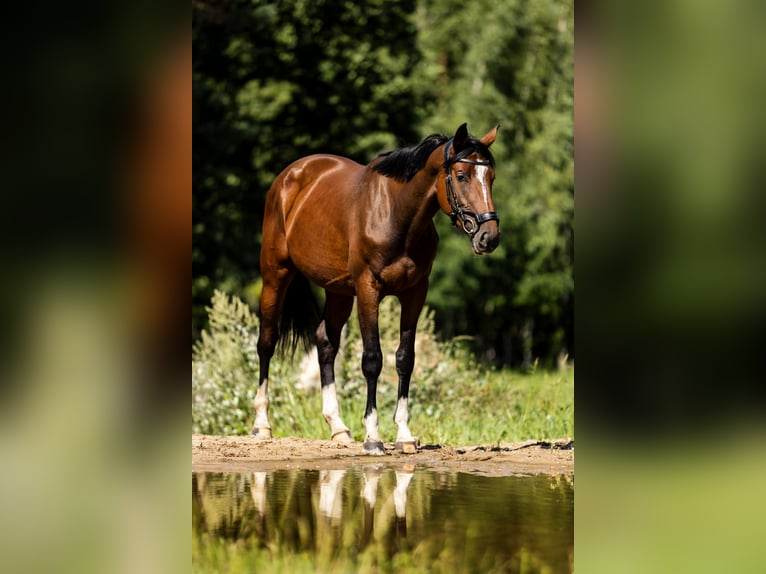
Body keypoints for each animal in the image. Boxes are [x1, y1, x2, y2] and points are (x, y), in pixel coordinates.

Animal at [255, 122, 500, 454]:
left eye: (491, 177)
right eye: (461, 175)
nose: (489, 236)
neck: (397, 215)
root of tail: (291, 175)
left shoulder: (415, 293)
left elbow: (405, 359)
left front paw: (404, 434)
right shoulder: (368, 290)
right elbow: (372, 359)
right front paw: (372, 436)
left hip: (338, 292)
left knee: (325, 342)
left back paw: (339, 428)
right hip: (276, 274)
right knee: (267, 341)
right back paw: (262, 425)